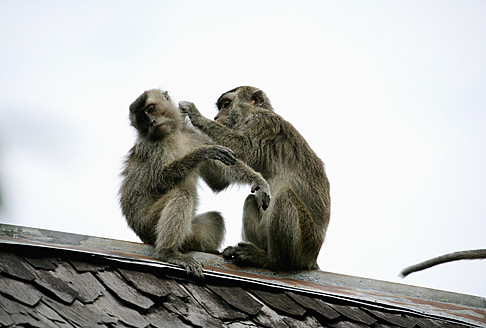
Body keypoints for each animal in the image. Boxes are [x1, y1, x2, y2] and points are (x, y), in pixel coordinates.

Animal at [117, 88, 270, 278]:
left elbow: (218, 180)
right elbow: (157, 182)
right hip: (148, 225)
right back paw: (168, 252)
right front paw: (204, 152)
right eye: (142, 119)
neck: (173, 135)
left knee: (215, 217)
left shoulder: (193, 136)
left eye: (151, 109)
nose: (152, 122)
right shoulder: (150, 148)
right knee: (181, 196)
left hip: (190, 232)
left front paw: (258, 180)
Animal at [180, 86, 332, 270]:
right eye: (220, 106)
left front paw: (196, 116)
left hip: (306, 243)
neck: (251, 114)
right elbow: (220, 180)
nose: (216, 117)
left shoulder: (264, 122)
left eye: (226, 104)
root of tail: (313, 258)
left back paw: (274, 260)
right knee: (251, 199)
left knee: (284, 195)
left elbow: (245, 150)